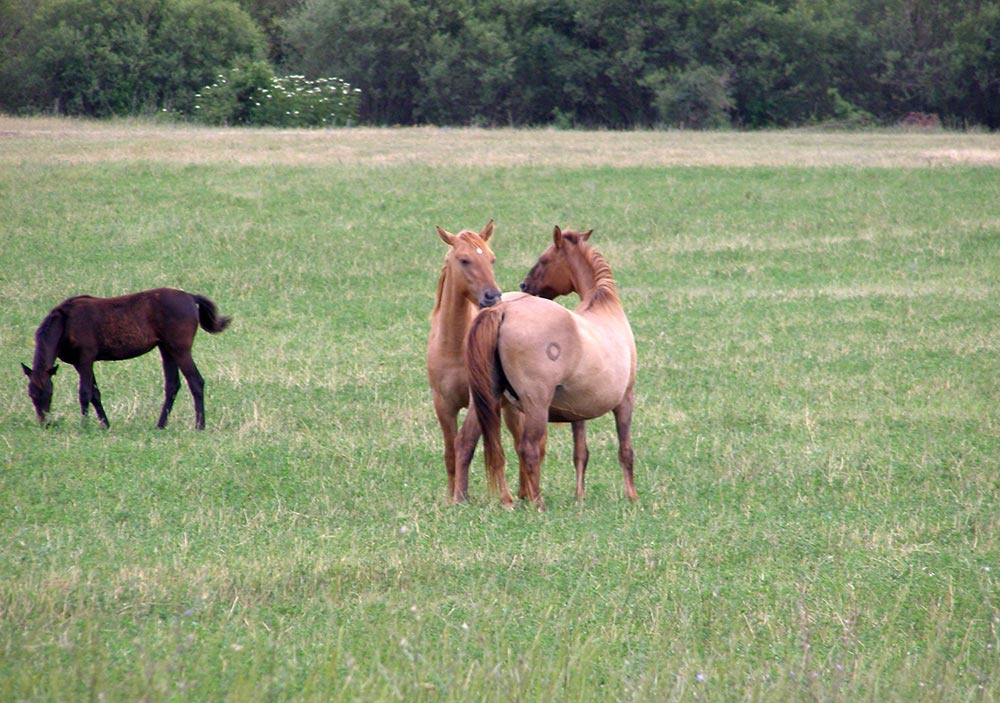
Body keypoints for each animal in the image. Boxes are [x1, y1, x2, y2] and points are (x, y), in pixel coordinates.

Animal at [22, 288, 231, 429]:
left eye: (49, 394)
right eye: (31, 395)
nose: (45, 423)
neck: (66, 322)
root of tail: (190, 297)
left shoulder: (85, 360)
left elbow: (84, 393)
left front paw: (84, 426)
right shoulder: (81, 364)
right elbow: (95, 394)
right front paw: (105, 425)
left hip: (180, 349)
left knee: (196, 381)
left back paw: (199, 425)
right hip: (166, 349)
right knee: (172, 385)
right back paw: (160, 425)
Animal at [465, 226, 637, 508]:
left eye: (544, 260)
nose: (525, 285)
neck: (604, 307)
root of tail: (502, 310)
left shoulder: (578, 412)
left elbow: (581, 453)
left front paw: (579, 496)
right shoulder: (625, 400)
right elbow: (625, 450)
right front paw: (632, 496)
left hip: (490, 400)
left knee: (485, 446)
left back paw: (500, 499)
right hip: (535, 405)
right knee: (529, 449)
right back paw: (537, 503)